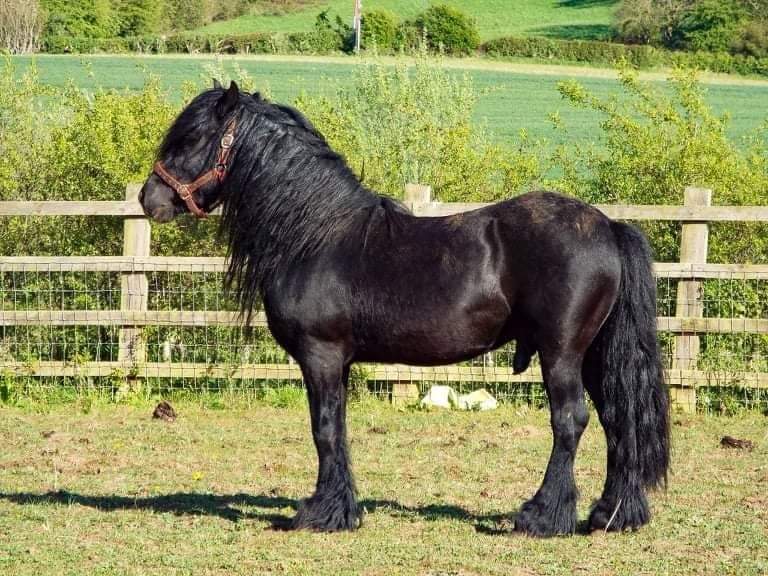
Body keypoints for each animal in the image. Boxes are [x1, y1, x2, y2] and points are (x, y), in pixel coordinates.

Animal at [141, 83, 668, 536]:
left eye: (192, 138)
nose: (150, 198)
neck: (315, 235)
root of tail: (608, 226)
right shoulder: (337, 362)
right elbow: (337, 428)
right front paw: (343, 508)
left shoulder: (320, 356)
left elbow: (324, 429)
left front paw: (322, 513)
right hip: (595, 354)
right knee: (617, 418)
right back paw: (611, 515)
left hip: (561, 354)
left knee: (570, 421)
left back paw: (542, 516)